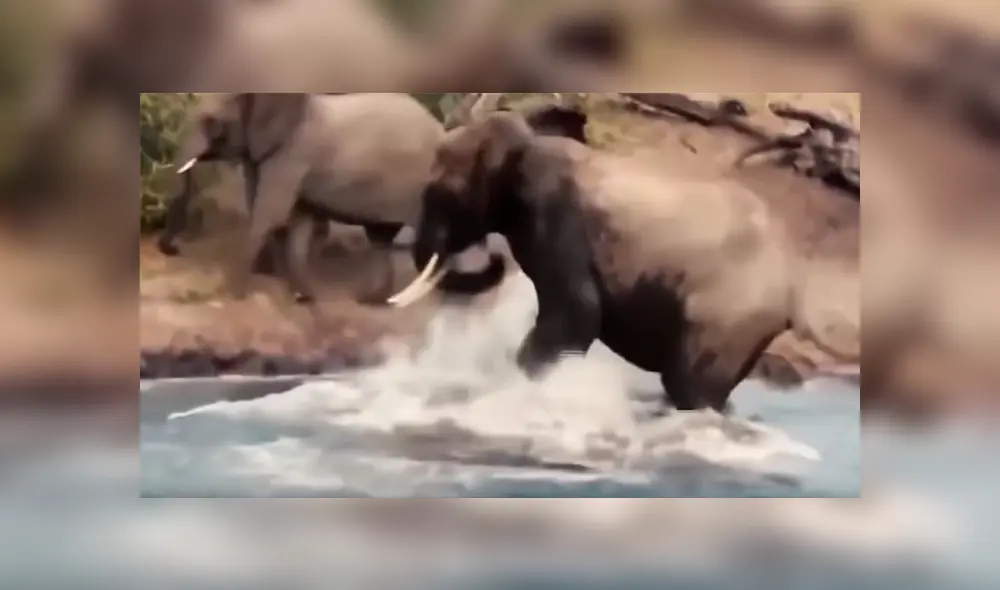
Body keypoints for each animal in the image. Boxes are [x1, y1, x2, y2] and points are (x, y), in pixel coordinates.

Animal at [161, 92, 443, 304]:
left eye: (212, 124)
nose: (173, 249)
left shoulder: (293, 155)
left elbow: (270, 214)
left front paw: (233, 294)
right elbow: (294, 220)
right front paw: (300, 294)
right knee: (380, 237)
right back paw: (370, 300)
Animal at [385, 110, 847, 412]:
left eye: (440, 193)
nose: (492, 257)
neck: (528, 142)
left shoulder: (558, 218)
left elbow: (578, 314)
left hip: (727, 316)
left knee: (688, 383)